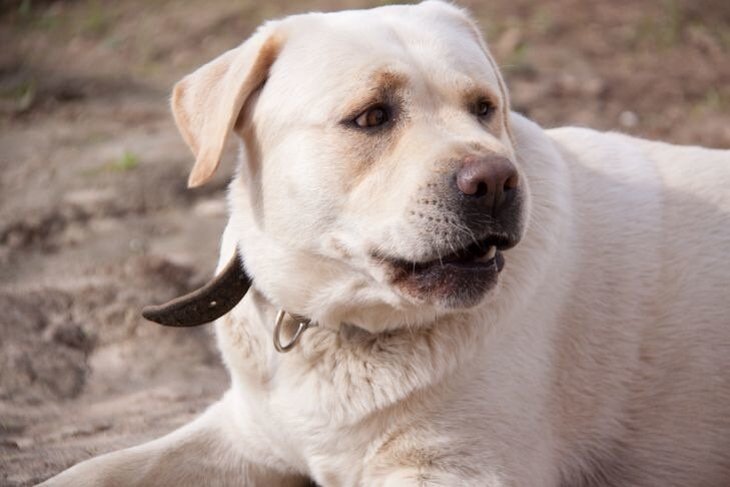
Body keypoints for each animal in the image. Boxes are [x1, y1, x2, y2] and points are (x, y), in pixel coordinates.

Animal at [44, 1, 728, 486]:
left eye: (484, 108)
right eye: (372, 116)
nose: (496, 181)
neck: (335, 328)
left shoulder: (459, 470)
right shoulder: (243, 432)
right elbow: (93, 470)